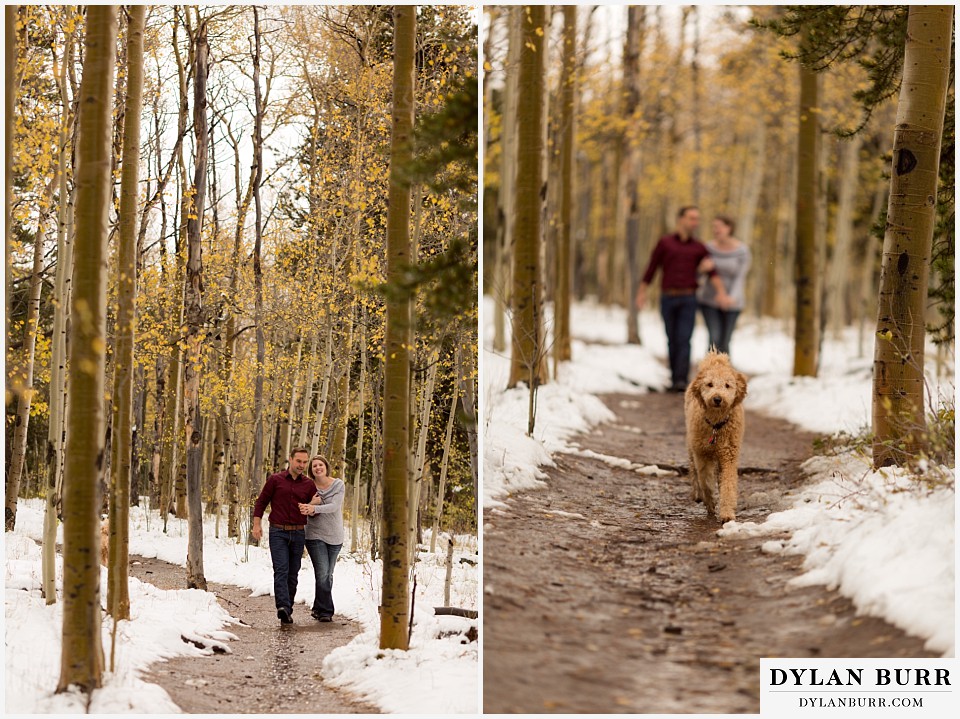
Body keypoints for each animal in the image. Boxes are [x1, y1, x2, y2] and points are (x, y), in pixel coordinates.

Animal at [688, 352, 748, 524]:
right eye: (709, 384)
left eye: (727, 385)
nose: (717, 399)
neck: (716, 425)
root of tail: (716, 360)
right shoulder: (702, 454)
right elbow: (705, 481)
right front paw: (710, 502)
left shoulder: (729, 456)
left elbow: (728, 484)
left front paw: (727, 513)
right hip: (691, 446)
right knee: (693, 470)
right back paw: (698, 494)